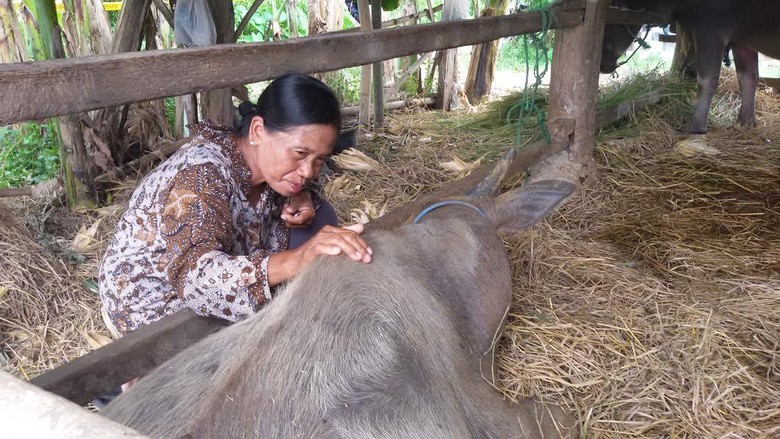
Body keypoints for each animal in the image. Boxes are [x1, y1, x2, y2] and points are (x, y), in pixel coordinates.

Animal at [600, 0, 776, 134]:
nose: (602, 64)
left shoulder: (710, 29)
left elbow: (707, 80)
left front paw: (694, 127)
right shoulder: (742, 40)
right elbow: (748, 76)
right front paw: (744, 122)